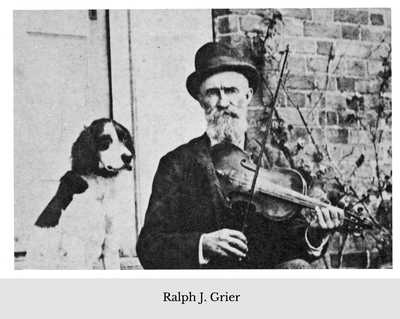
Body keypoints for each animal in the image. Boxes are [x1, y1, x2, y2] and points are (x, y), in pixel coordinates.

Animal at [27, 118, 136, 270]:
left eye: (124, 138)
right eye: (105, 141)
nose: (128, 157)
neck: (100, 184)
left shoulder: (110, 238)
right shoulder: (76, 243)